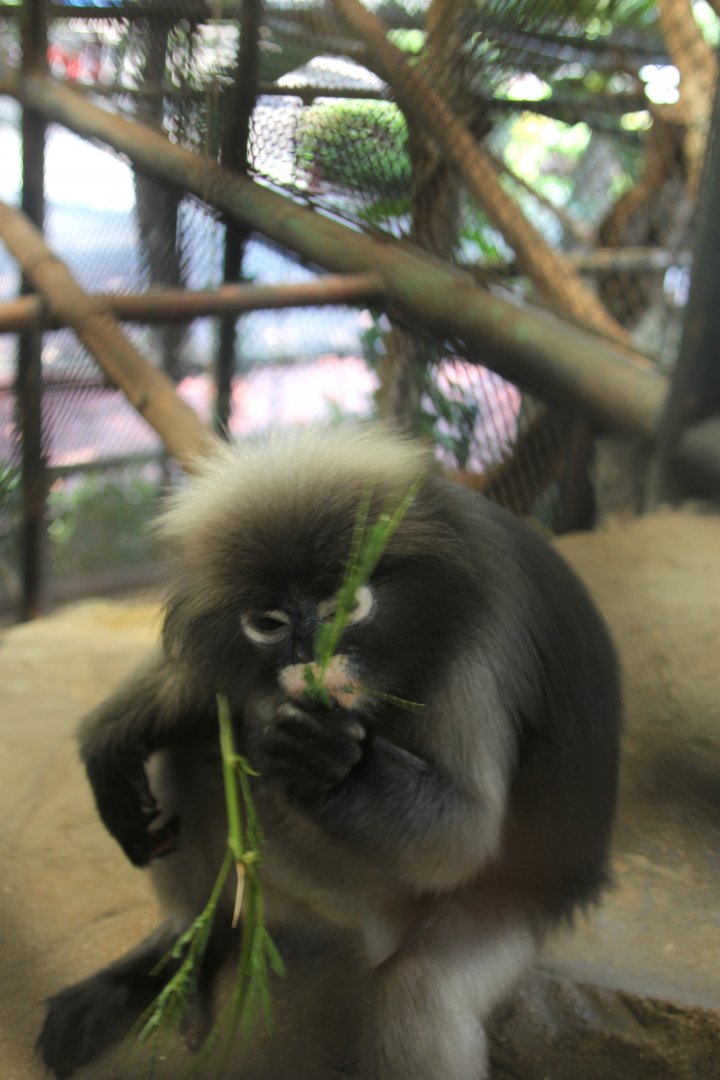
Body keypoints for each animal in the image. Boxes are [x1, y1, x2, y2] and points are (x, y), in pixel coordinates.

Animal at [37, 424, 621, 1080]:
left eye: (343, 608)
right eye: (270, 623)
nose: (311, 660)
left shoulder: (482, 641)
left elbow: (467, 839)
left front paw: (324, 760)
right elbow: (212, 691)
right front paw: (108, 746)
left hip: (475, 906)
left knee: (419, 987)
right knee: (191, 758)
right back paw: (181, 954)